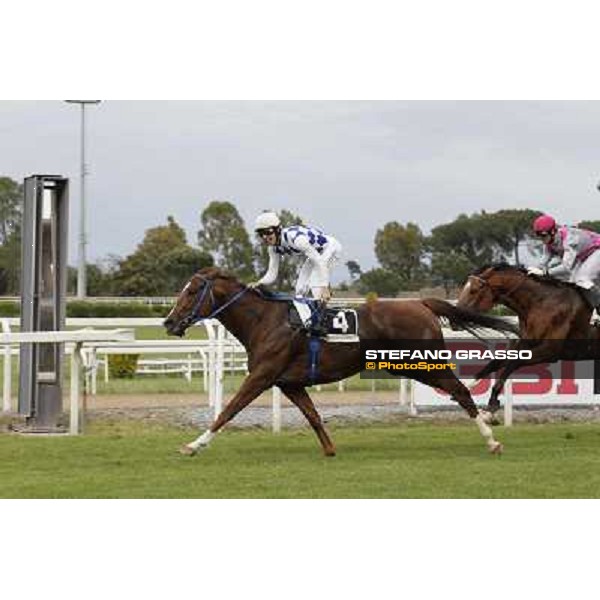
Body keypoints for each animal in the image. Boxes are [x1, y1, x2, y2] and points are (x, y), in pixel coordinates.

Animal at [162, 268, 516, 454]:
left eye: (191, 291)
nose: (168, 322)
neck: (265, 321)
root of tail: (421, 303)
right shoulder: (290, 383)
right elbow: (313, 416)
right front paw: (330, 449)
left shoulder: (261, 377)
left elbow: (227, 411)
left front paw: (193, 445)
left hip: (421, 363)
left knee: (460, 391)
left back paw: (492, 437)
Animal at [458, 262, 596, 412]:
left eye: (473, 290)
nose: (455, 315)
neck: (541, 302)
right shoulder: (526, 342)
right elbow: (495, 362)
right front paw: (465, 387)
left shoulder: (550, 351)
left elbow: (514, 363)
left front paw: (492, 403)